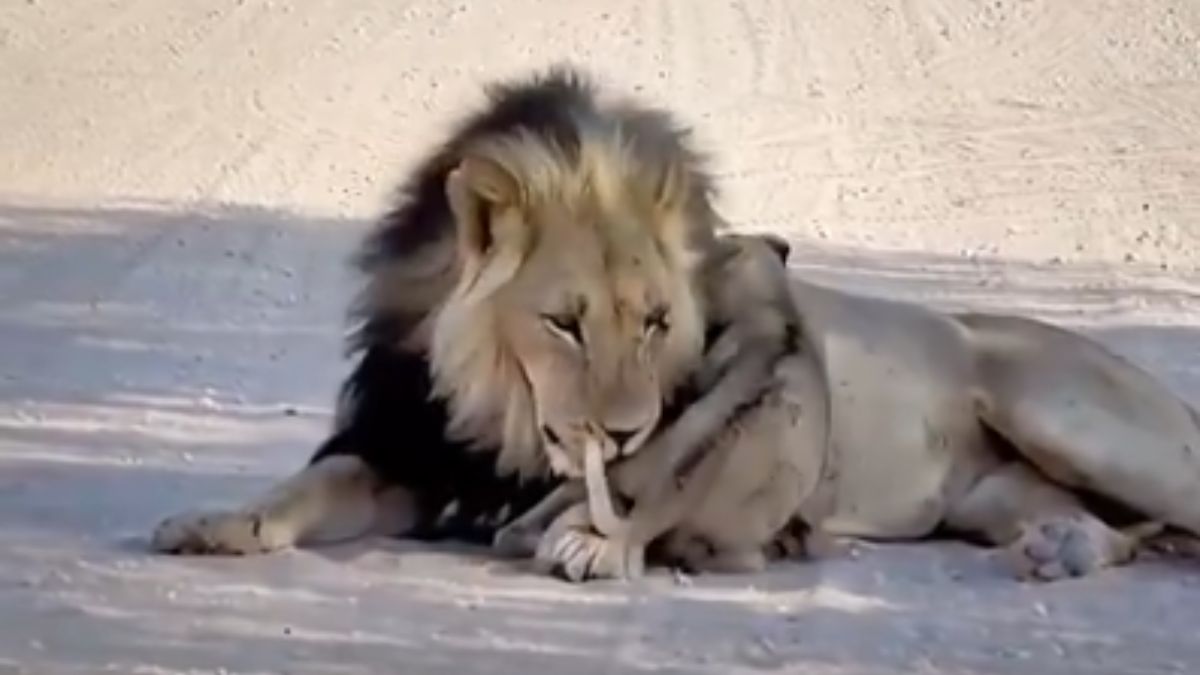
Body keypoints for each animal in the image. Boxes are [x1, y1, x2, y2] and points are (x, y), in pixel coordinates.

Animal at [149, 66, 726, 556]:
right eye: (564, 324)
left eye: (655, 323)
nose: (626, 436)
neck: (504, 409)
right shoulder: (403, 443)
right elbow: (317, 481)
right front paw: (211, 526)